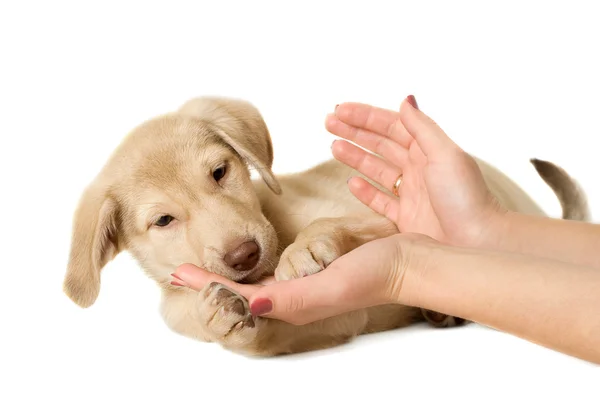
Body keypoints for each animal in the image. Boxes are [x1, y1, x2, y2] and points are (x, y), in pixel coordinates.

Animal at [62, 97, 592, 356]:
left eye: (219, 172)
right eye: (163, 221)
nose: (243, 256)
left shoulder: (386, 216)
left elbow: (331, 221)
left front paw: (306, 251)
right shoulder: (326, 321)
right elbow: (260, 336)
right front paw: (224, 317)